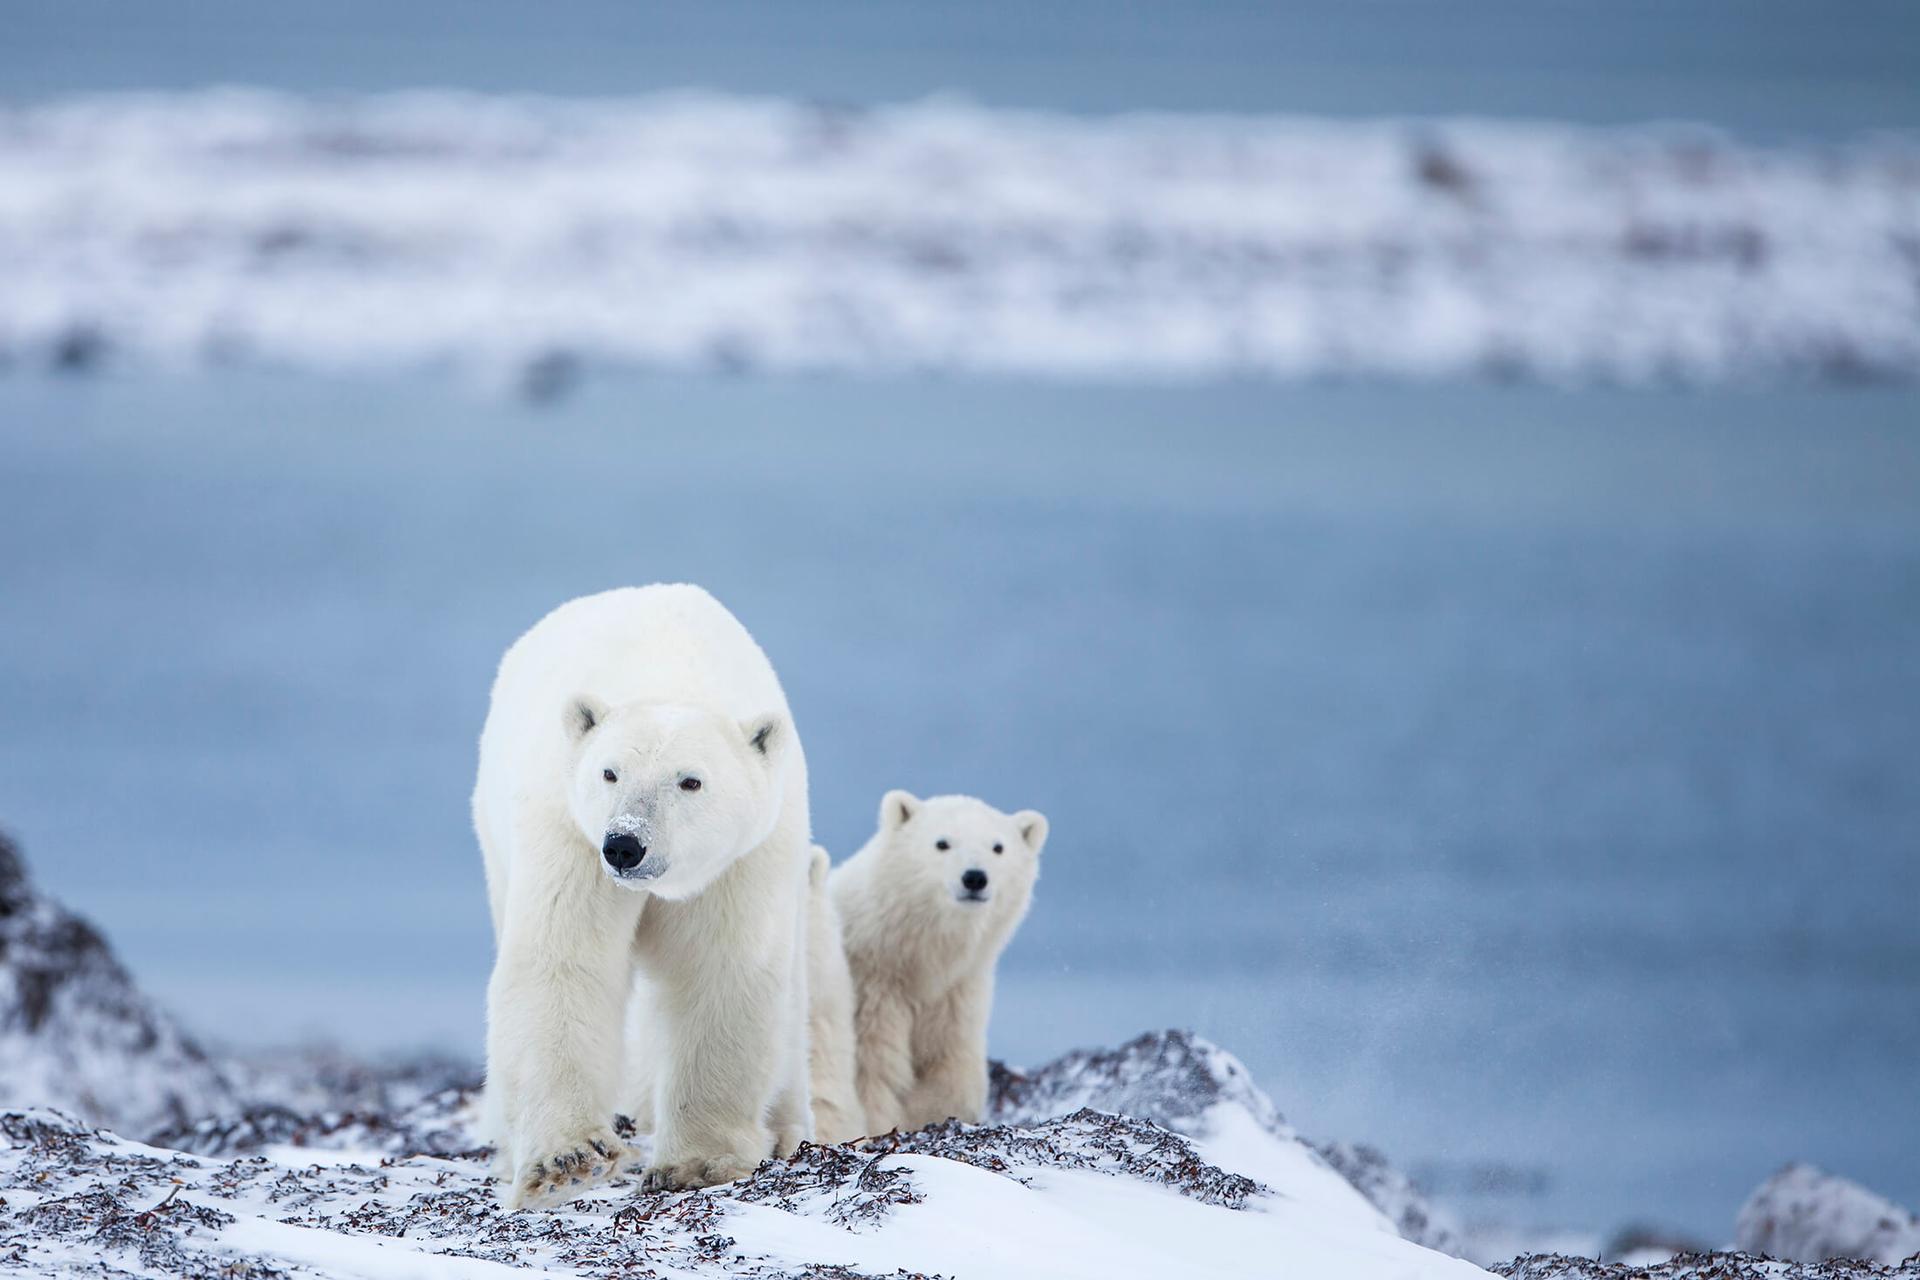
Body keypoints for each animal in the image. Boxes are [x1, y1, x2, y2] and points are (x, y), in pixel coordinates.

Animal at [480, 587, 817, 1205]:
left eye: (690, 780)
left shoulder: (741, 859)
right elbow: (562, 961)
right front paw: (568, 1162)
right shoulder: (567, 830)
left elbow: (721, 972)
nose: (624, 846)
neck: (668, 674)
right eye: (610, 773)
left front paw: (699, 1163)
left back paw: (784, 1130)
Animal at [833, 790, 1052, 1128]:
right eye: (942, 843)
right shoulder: (872, 991)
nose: (975, 878)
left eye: (998, 847)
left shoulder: (956, 994)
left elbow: (951, 1069)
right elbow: (872, 1072)